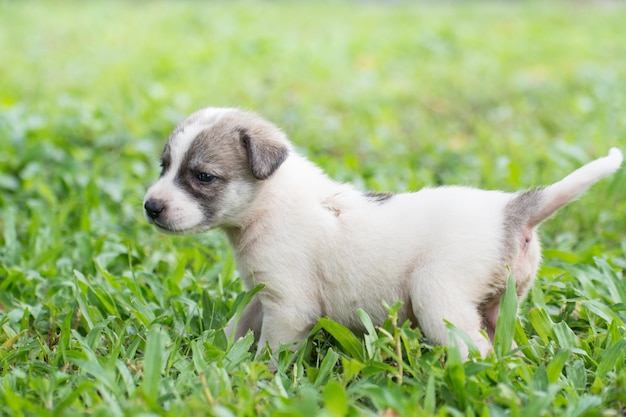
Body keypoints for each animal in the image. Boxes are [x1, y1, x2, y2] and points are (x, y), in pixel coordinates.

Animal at [144, 107, 620, 358]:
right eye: (164, 166)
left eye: (203, 176)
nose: (151, 207)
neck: (269, 201)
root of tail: (509, 210)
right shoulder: (263, 296)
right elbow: (237, 326)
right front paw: (214, 355)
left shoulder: (288, 305)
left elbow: (271, 349)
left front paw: (256, 376)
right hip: (501, 302)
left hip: (437, 294)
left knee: (477, 351)